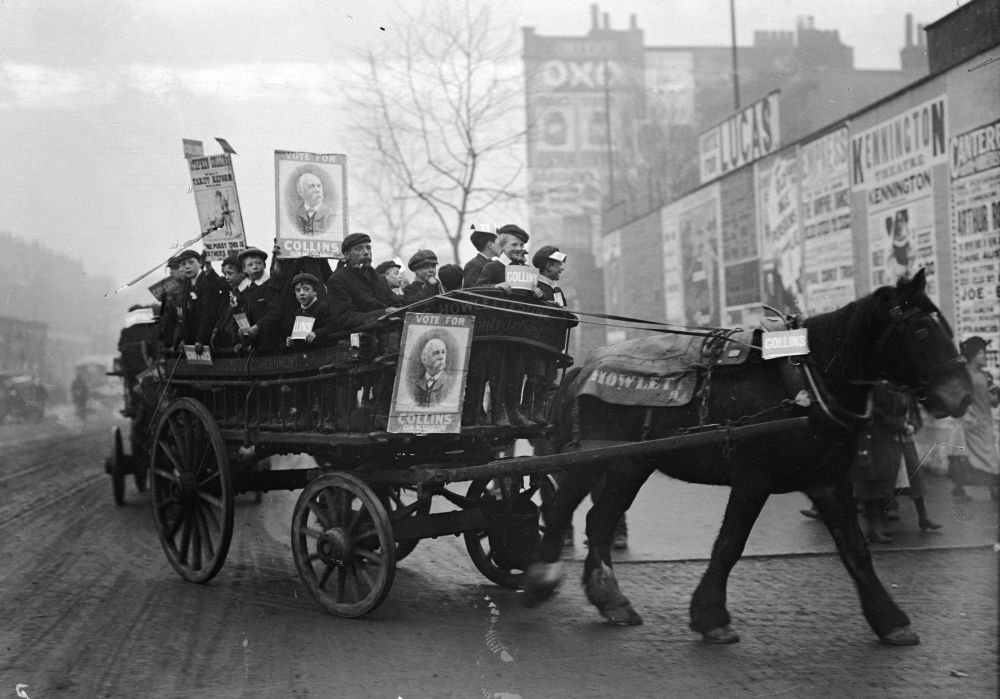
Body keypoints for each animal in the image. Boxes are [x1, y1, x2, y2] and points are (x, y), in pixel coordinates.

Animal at [528, 270, 972, 648]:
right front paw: (711, 616)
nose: (962, 395)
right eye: (920, 330)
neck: (806, 382)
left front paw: (890, 620)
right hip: (591, 458)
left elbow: (855, 548)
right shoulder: (753, 479)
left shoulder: (827, 481)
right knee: (560, 509)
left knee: (599, 520)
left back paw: (610, 600)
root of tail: (583, 369)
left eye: (946, 327)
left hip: (630, 464)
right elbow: (730, 544)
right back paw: (541, 577)